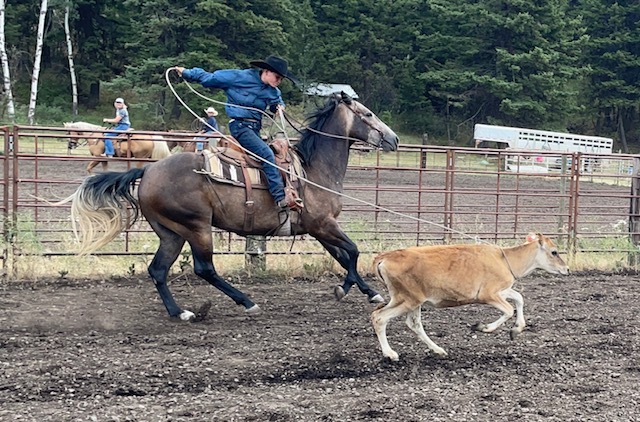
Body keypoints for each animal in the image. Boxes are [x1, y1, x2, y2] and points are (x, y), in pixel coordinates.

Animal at [370, 233, 569, 361]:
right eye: (554, 252)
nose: (567, 269)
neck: (505, 259)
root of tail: (383, 257)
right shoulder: (489, 294)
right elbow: (508, 310)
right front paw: (483, 327)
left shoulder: (502, 290)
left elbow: (519, 298)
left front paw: (516, 329)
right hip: (407, 299)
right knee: (379, 317)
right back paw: (390, 354)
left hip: (411, 301)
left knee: (413, 324)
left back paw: (438, 350)